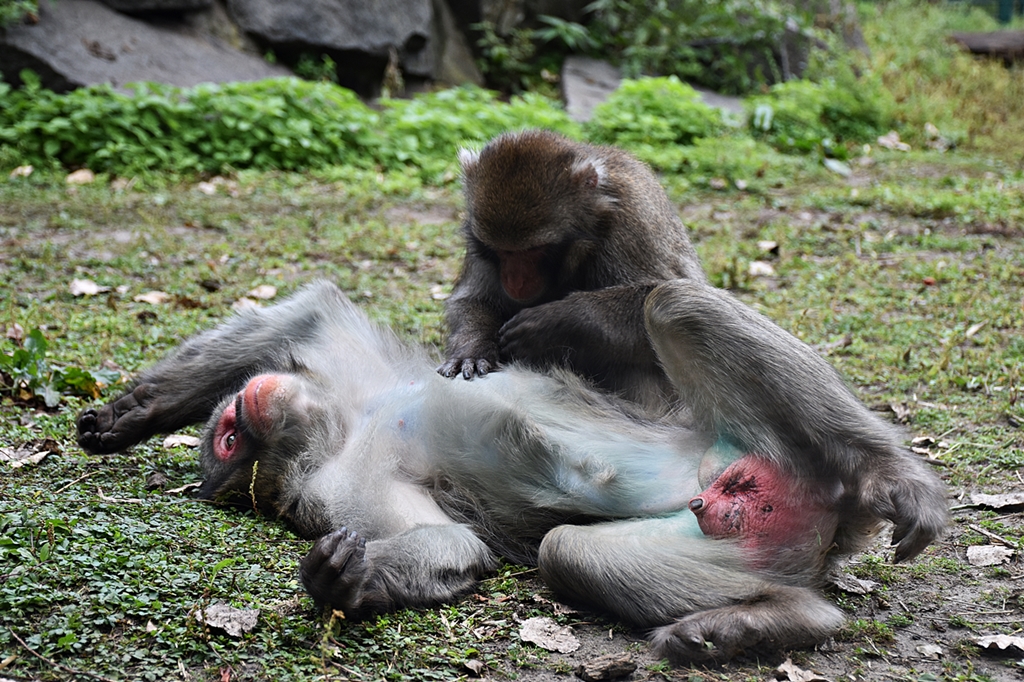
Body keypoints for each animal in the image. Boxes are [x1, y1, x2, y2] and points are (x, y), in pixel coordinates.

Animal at [77, 280, 948, 662]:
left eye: (226, 435)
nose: (237, 415)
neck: (351, 423)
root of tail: (826, 524)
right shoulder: (338, 490)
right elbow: (455, 549)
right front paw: (343, 584)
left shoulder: (345, 375)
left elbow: (306, 313)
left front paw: (131, 413)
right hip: (729, 519)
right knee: (570, 550)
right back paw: (777, 620)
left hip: (755, 447)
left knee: (674, 305)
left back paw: (892, 478)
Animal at [437, 130, 706, 409]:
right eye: (502, 251)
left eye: (534, 250)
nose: (515, 280)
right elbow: (474, 300)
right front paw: (472, 349)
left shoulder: (633, 217)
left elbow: (674, 299)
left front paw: (559, 321)